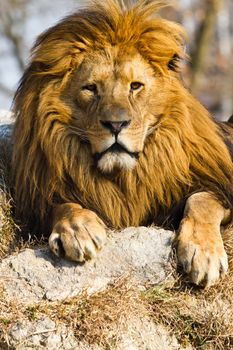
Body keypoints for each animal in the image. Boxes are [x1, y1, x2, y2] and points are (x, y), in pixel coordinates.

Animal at [11, 0, 233, 288]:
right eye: (91, 88)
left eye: (135, 86)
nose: (116, 125)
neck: (123, 177)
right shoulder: (38, 204)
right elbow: (63, 205)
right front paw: (78, 229)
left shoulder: (216, 186)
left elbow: (202, 200)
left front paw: (203, 254)